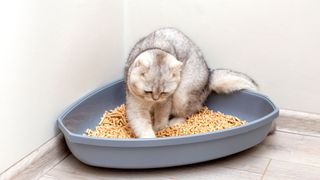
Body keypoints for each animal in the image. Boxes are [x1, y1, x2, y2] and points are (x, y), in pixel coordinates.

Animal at [124, 27, 262, 138]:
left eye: (164, 92)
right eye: (148, 91)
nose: (155, 99)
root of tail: (209, 76)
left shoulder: (166, 101)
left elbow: (162, 116)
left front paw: (159, 129)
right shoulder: (136, 104)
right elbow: (141, 124)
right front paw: (150, 136)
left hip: (182, 95)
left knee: (190, 111)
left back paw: (174, 122)